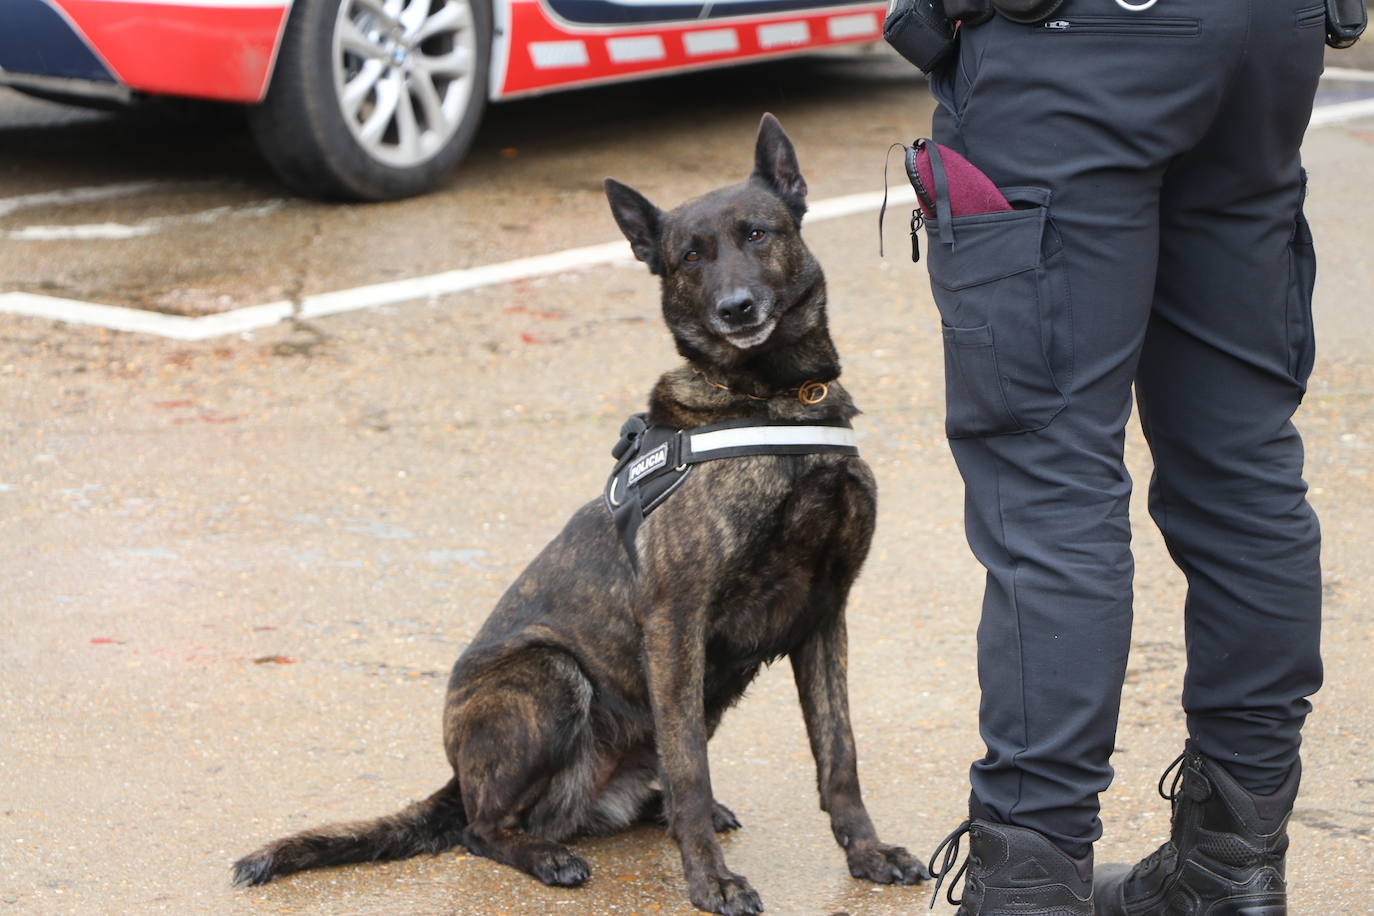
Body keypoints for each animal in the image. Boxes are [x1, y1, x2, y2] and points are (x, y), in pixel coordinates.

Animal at [233, 112, 923, 916]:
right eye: (691, 256)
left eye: (757, 234)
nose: (736, 310)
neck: (775, 401)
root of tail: (460, 777)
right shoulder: (676, 620)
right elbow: (690, 769)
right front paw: (710, 881)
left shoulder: (823, 614)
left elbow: (839, 755)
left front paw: (867, 853)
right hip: (551, 674)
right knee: (483, 828)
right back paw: (548, 854)